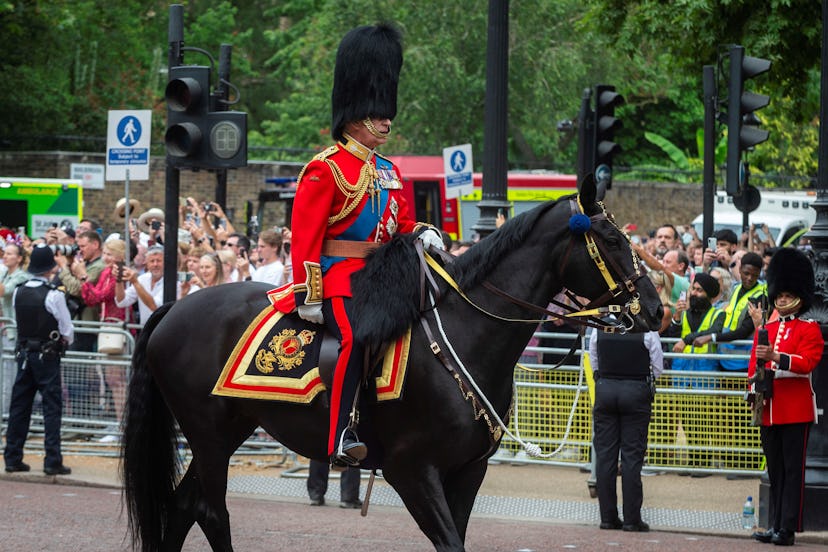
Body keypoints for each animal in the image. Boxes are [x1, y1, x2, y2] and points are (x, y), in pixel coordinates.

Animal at [121, 178, 662, 552]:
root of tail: (175, 305)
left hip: (226, 431)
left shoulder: (468, 471)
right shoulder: (412, 469)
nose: (657, 310)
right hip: (209, 435)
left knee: (182, 505)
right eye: (612, 240)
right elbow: (450, 542)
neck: (467, 334)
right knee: (210, 511)